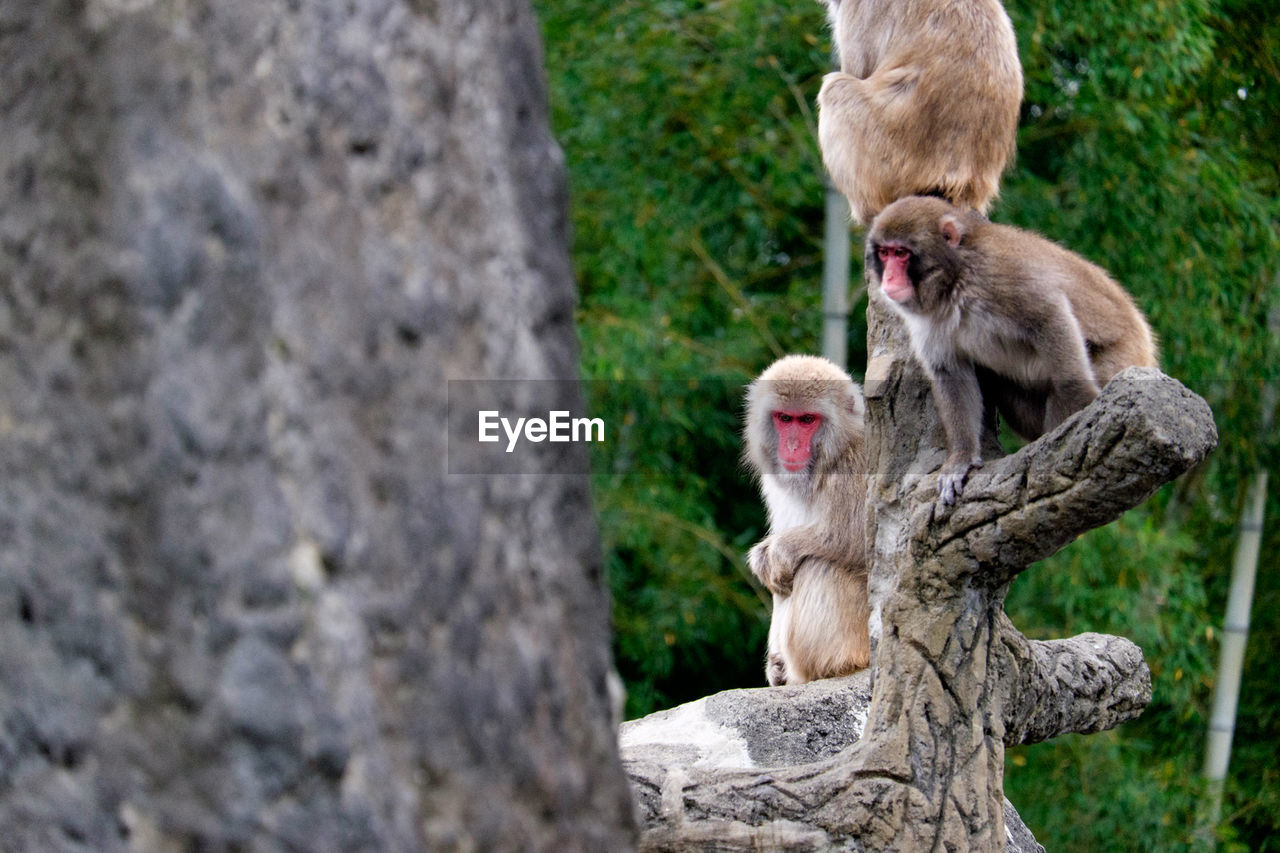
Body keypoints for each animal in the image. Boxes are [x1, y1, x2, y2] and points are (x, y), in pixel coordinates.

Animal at [742, 350, 870, 686]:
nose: (791, 446)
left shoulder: (859, 465)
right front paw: (762, 557)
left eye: (808, 420)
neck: (834, 455)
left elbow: (857, 541)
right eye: (785, 418)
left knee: (818, 563)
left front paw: (780, 552)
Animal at [870, 197, 1162, 504]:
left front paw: (1077, 409)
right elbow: (950, 372)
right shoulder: (929, 319)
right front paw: (961, 458)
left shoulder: (998, 275)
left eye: (901, 253)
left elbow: (1050, 317)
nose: (888, 279)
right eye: (884, 253)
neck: (955, 278)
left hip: (1123, 358)